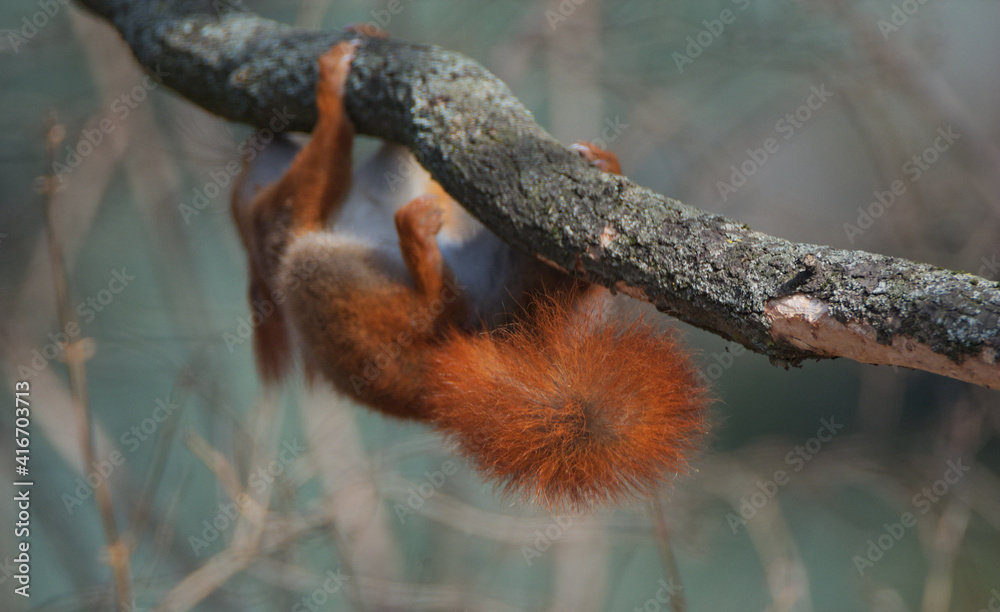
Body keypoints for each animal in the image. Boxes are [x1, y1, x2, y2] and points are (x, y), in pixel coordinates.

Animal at [230, 36, 709, 509]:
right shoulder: (270, 223)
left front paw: (372, 38)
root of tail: (431, 377)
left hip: (519, 278)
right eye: (240, 176)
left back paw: (605, 168)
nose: (260, 137)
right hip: (327, 285)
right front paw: (331, 93)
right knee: (438, 308)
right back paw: (420, 250)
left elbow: (397, 156)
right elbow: (316, 174)